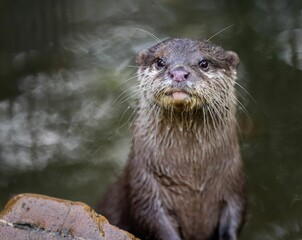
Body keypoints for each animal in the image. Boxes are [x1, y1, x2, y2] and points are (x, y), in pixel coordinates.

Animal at [98, 38, 245, 239]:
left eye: (204, 63)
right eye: (160, 62)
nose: (178, 73)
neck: (192, 180)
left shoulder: (234, 184)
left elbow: (235, 217)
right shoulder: (144, 188)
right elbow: (154, 221)